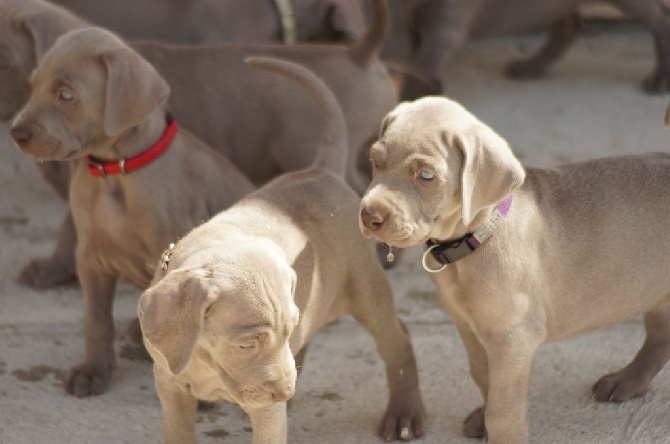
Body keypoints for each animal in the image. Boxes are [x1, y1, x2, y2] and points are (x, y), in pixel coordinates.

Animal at [10, 26, 258, 398]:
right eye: (34, 85)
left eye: (66, 95)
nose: (16, 133)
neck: (114, 172)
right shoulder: (90, 258)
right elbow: (96, 320)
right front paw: (92, 371)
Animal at [139, 56, 428, 444]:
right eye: (247, 344)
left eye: (281, 333)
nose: (285, 392)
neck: (203, 359)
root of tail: (321, 171)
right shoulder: (170, 389)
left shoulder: (265, 408)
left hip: (367, 290)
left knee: (398, 340)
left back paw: (404, 414)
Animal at [362, 97, 670, 444]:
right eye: (375, 162)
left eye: (426, 175)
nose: (369, 216)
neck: (477, 238)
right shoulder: (470, 326)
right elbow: (484, 377)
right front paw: (482, 419)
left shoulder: (514, 337)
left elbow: (503, 410)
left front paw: (498, 430)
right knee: (660, 336)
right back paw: (628, 380)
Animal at [400, 0, 670, 99]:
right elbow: (416, 65)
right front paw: (433, 89)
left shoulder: (445, 29)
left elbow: (416, 75)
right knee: (570, 25)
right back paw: (531, 68)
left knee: (660, 21)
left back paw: (659, 80)